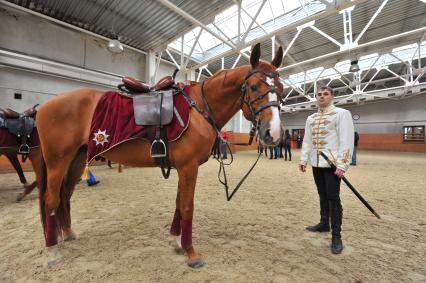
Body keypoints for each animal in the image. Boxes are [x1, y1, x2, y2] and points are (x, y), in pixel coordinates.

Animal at [35, 43, 284, 270]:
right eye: (253, 86)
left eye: (281, 89)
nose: (273, 133)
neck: (198, 108)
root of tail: (44, 106)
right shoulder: (189, 167)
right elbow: (187, 207)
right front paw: (191, 253)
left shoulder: (184, 168)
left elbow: (179, 204)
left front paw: (177, 242)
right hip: (58, 161)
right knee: (51, 200)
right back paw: (52, 251)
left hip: (76, 160)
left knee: (65, 195)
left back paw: (67, 233)